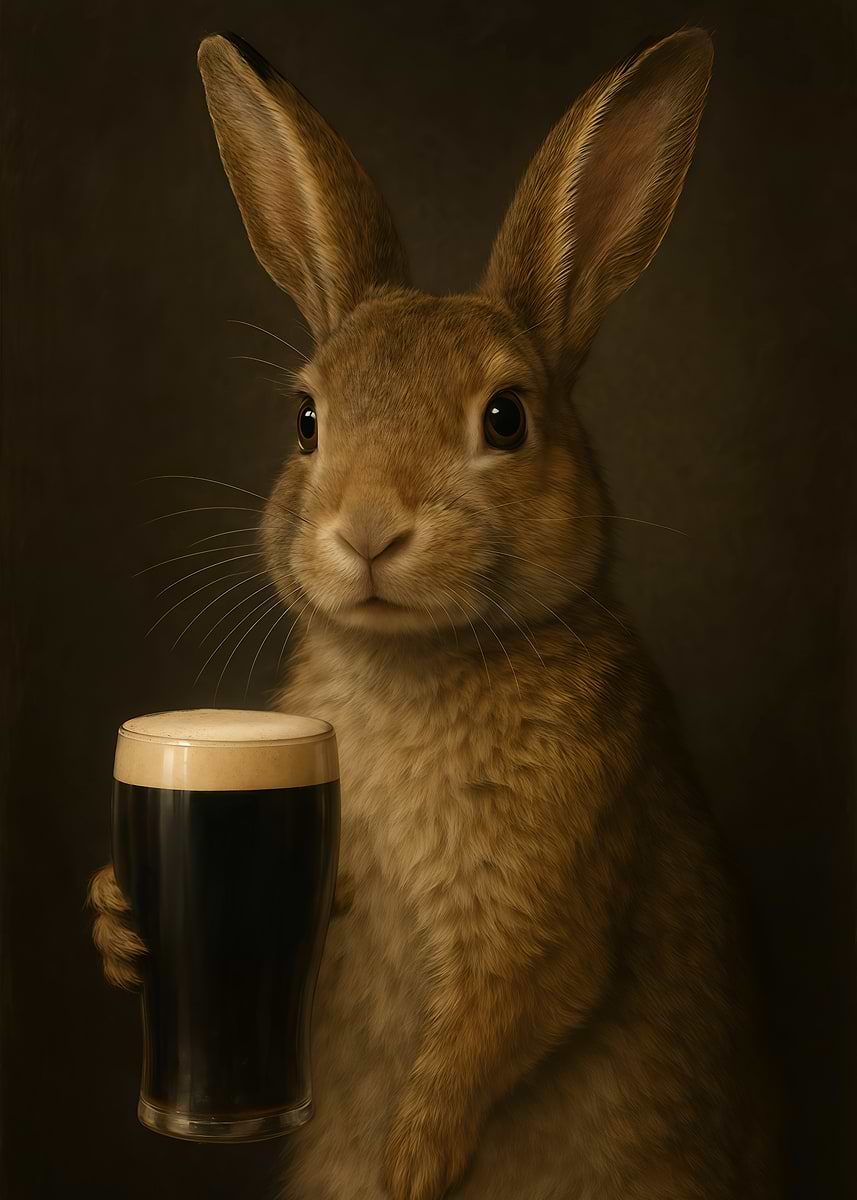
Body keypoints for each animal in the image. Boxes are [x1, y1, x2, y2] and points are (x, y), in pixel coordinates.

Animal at [89, 26, 780, 1200]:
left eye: (505, 419)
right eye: (305, 419)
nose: (368, 530)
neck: (413, 662)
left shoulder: (548, 896)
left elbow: (503, 1015)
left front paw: (410, 1163)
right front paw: (116, 924)